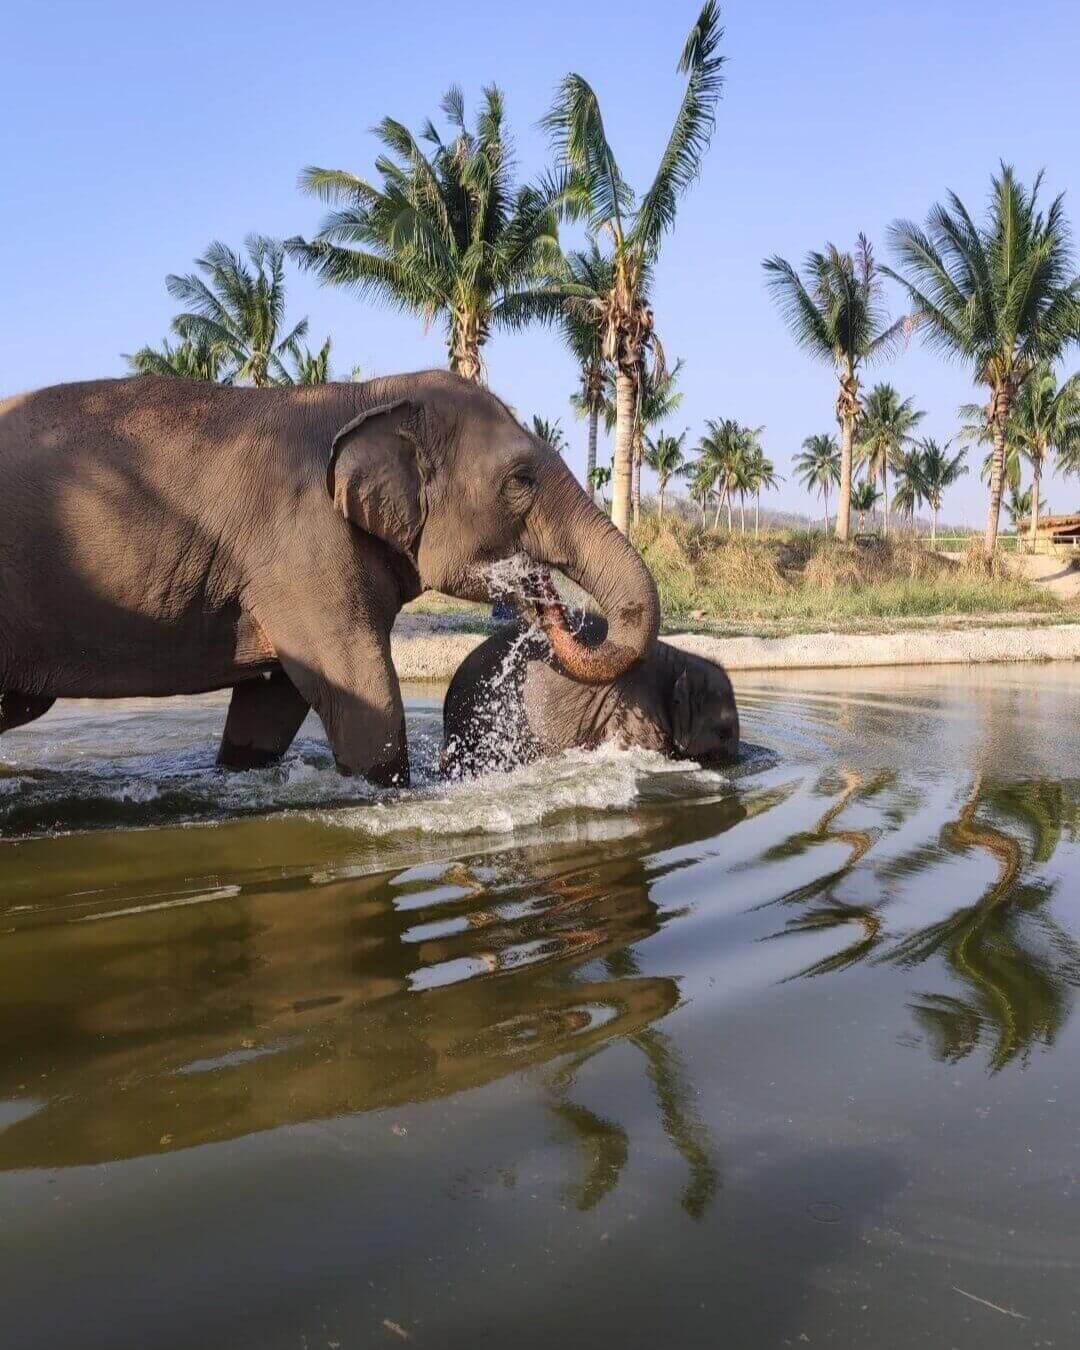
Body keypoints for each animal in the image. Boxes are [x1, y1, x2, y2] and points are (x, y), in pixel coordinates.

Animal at [0, 370, 659, 784]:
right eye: (521, 479)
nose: (552, 609)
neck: (368, 395)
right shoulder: (302, 545)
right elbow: (362, 694)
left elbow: (271, 703)